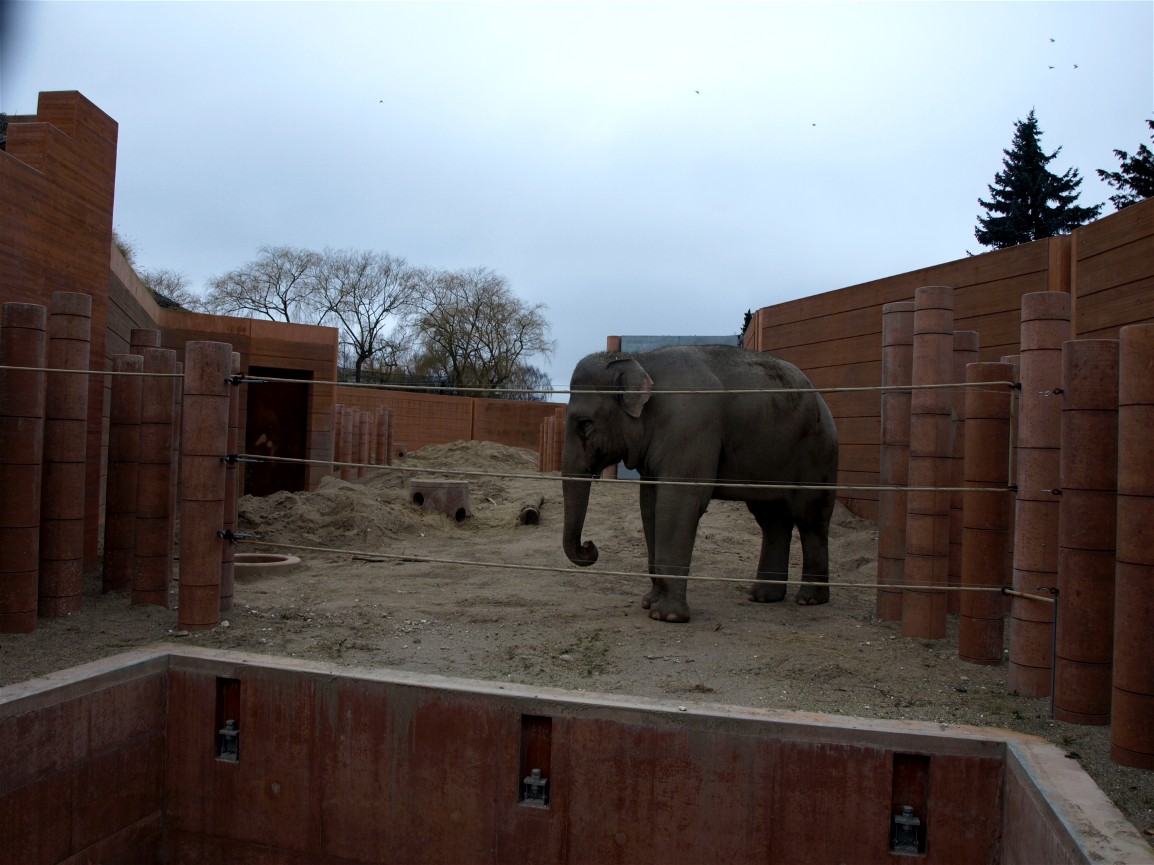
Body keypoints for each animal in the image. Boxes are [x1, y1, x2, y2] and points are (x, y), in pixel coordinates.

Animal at [561, 344, 839, 623]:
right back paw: (763, 596)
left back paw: (809, 599)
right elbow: (649, 505)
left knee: (809, 517)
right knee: (772, 519)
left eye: (585, 424)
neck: (642, 360)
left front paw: (667, 616)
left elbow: (677, 502)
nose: (589, 546)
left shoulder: (690, 427)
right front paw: (648, 602)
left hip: (818, 453)